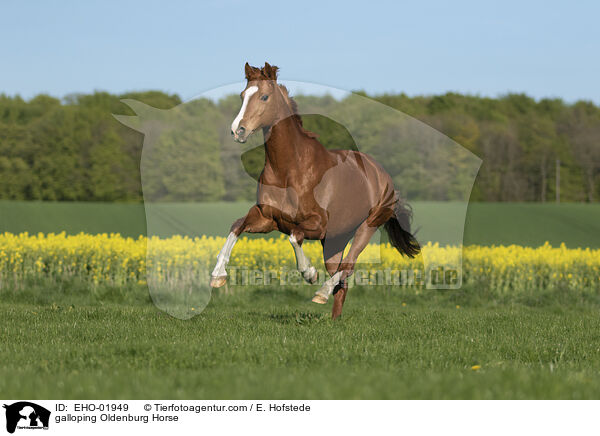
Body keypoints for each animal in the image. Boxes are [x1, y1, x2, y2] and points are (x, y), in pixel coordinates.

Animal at [210, 61, 418, 318]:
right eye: (242, 95)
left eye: (264, 96)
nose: (238, 130)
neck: (290, 169)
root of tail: (383, 177)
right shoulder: (268, 219)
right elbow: (237, 226)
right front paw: (217, 275)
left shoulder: (317, 225)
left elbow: (294, 237)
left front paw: (309, 273)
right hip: (335, 239)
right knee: (341, 279)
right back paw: (333, 317)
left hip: (367, 227)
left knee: (347, 266)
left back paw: (321, 292)